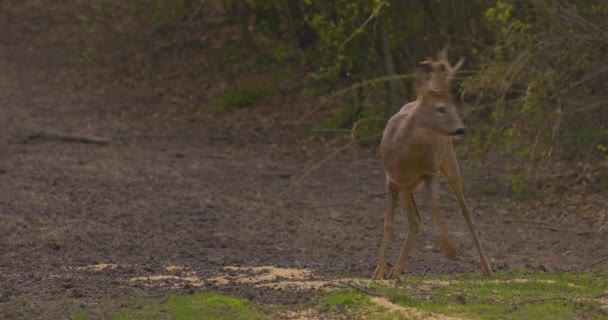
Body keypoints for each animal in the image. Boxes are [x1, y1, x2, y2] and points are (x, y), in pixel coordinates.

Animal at [370, 48, 494, 278]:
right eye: (441, 108)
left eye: (452, 106)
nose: (461, 128)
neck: (405, 156)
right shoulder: (391, 178)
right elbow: (388, 223)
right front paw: (379, 271)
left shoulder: (430, 170)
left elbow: (435, 206)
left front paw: (450, 248)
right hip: (406, 186)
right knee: (415, 219)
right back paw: (398, 269)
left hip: (448, 162)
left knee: (465, 210)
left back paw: (487, 266)